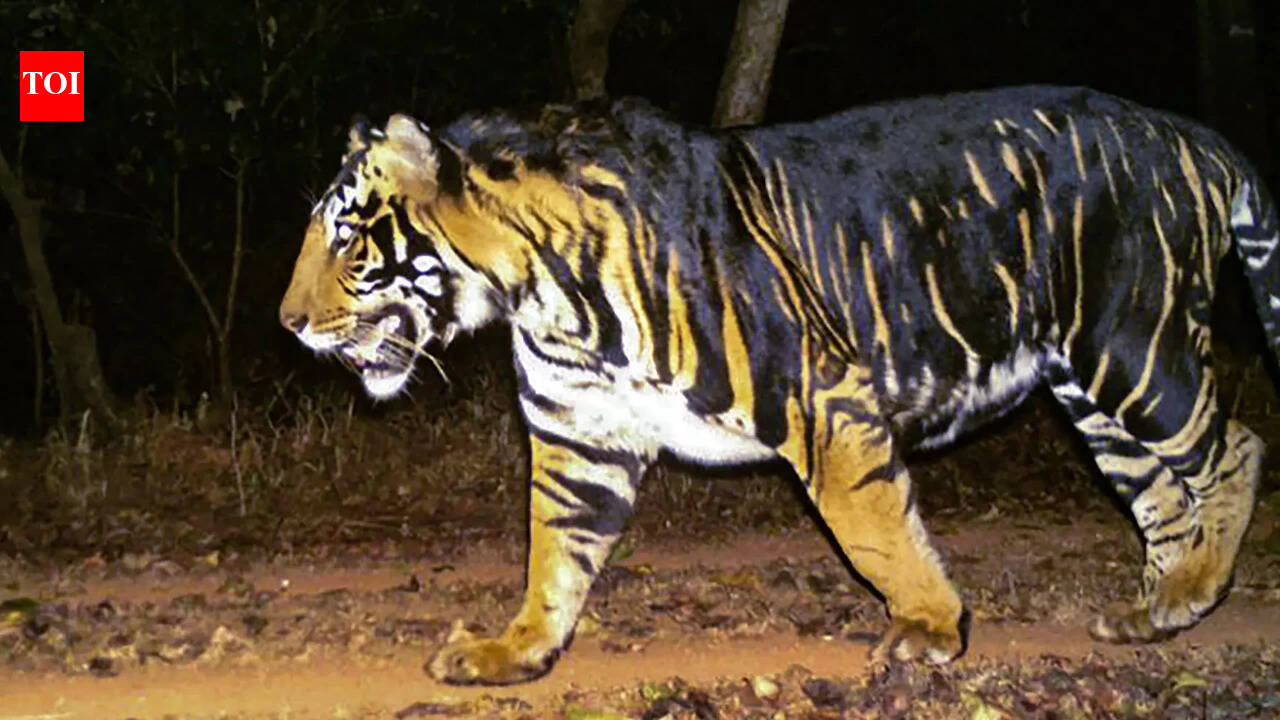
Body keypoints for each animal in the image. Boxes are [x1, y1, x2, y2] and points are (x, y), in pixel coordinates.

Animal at [279, 85, 1276, 685]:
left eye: (347, 238)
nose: (287, 323)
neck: (541, 297)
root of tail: (1187, 131)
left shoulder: (823, 399)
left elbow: (877, 532)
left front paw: (928, 628)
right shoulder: (578, 437)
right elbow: (554, 554)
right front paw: (513, 651)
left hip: (1132, 346)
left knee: (1234, 449)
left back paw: (1194, 588)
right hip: (1091, 394)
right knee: (1163, 497)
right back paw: (1161, 611)